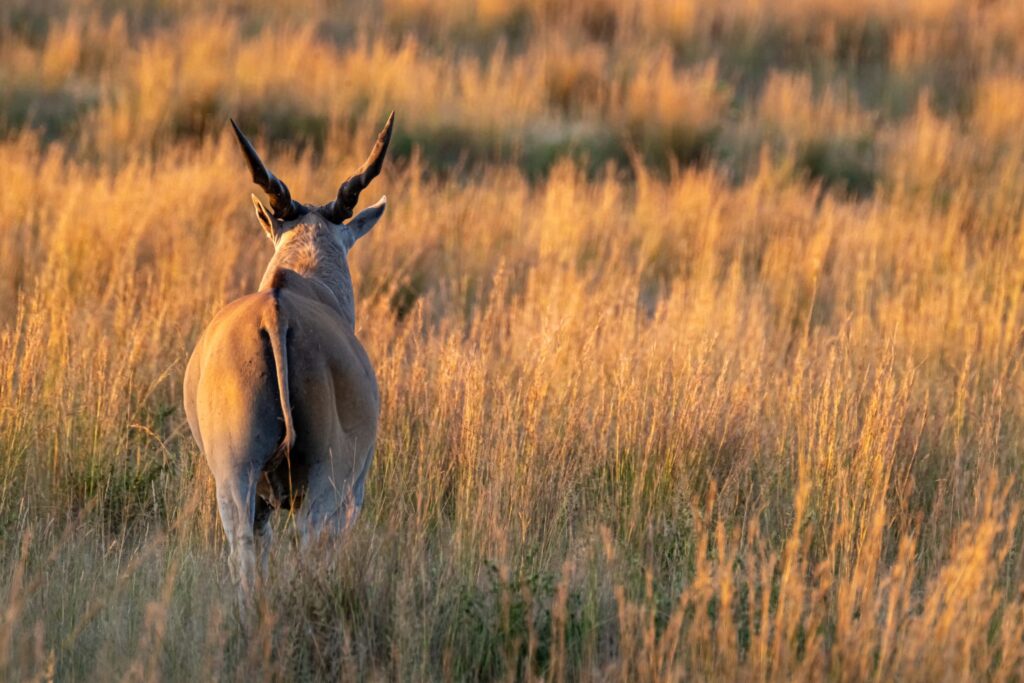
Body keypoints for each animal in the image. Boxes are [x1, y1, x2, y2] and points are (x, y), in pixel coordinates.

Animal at [182, 111, 393, 593]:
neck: (299, 282)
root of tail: (275, 314)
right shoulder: (354, 487)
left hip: (235, 475)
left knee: (243, 550)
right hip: (325, 482)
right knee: (309, 543)